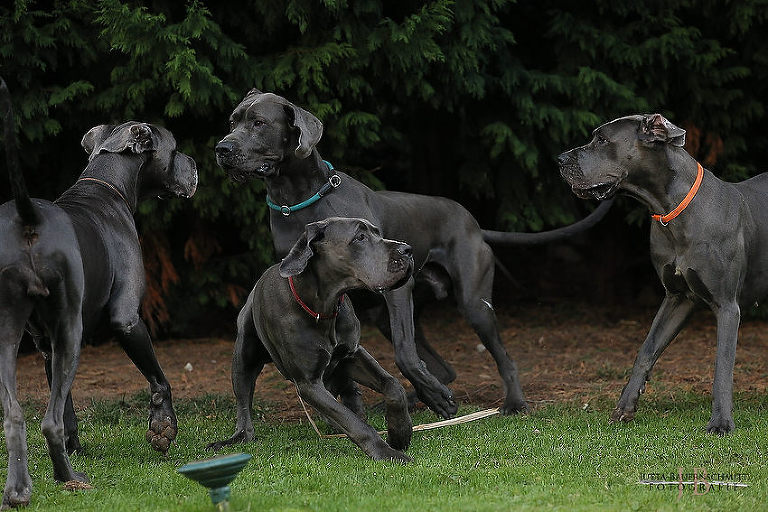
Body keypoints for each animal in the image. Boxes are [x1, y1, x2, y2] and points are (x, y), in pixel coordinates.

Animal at [0, 77, 196, 507]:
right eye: (174, 148)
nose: (196, 165)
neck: (106, 186)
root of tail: (28, 218)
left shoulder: (46, 346)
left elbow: (68, 406)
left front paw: (76, 447)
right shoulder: (126, 318)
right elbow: (160, 379)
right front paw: (163, 429)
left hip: (11, 338)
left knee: (19, 414)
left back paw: (21, 489)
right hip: (72, 331)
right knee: (48, 421)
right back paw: (70, 478)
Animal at [208, 217, 414, 462]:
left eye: (377, 233)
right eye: (360, 237)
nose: (407, 250)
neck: (321, 308)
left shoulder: (352, 354)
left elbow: (393, 385)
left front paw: (400, 433)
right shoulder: (308, 383)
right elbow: (353, 423)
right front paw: (385, 452)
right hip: (242, 357)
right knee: (244, 408)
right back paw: (235, 438)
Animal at [214, 89, 612, 418]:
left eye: (259, 123)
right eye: (232, 121)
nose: (221, 149)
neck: (299, 198)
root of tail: (472, 221)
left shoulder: (395, 289)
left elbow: (405, 354)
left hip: (471, 304)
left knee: (501, 358)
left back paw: (511, 402)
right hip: (386, 313)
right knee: (442, 367)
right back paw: (423, 395)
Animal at [558, 113, 768, 434]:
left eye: (602, 140)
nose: (559, 159)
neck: (673, 210)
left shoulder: (727, 306)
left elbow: (722, 364)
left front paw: (721, 422)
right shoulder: (677, 298)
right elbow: (646, 350)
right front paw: (625, 406)